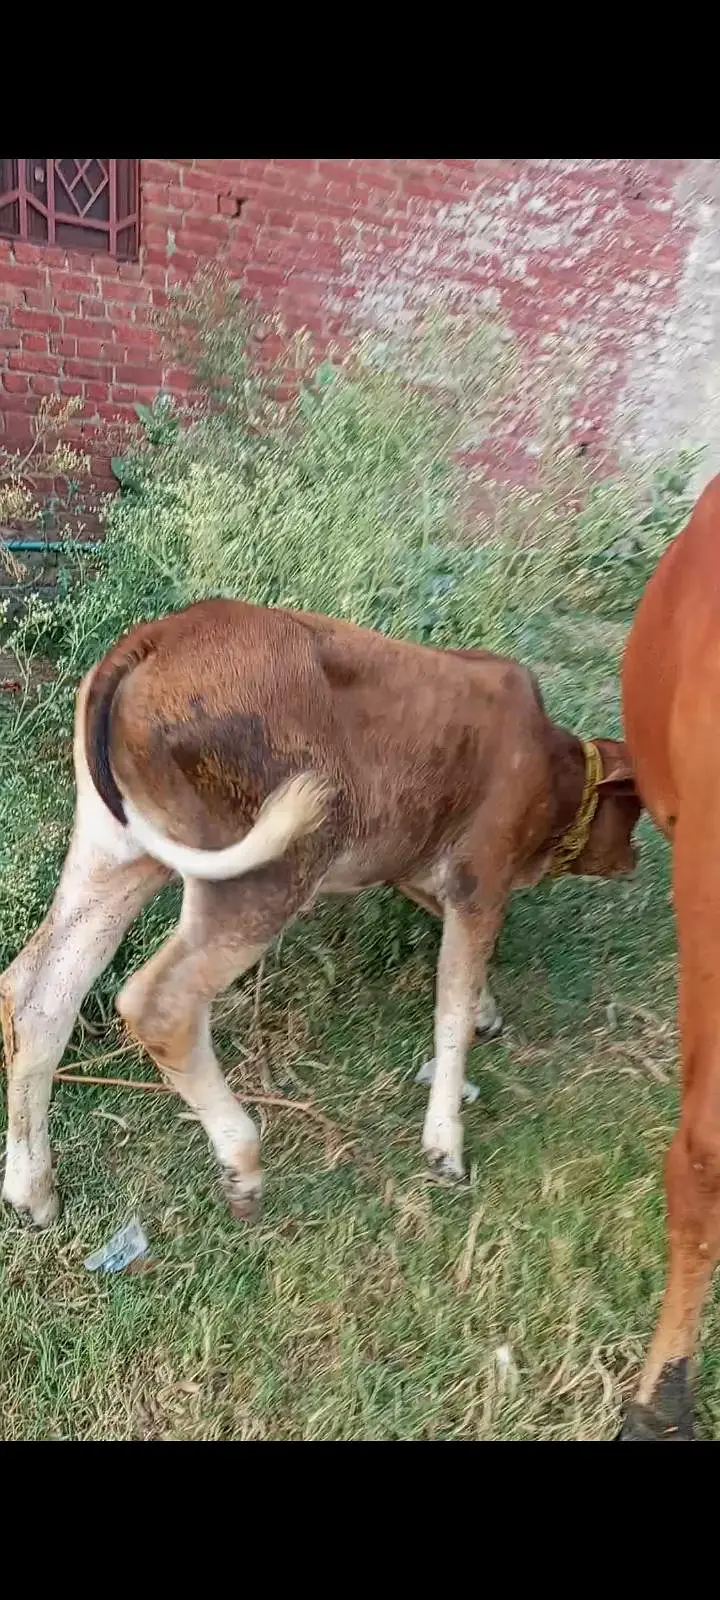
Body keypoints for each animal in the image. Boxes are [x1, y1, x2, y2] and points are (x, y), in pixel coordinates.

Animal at [1, 598, 640, 1238]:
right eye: (634, 811)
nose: (634, 860)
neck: (552, 767)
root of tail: (160, 635)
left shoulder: (418, 869)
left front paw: (486, 1011)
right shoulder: (480, 879)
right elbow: (452, 1010)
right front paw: (444, 1144)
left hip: (118, 856)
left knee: (36, 991)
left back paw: (33, 1189)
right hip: (273, 867)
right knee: (159, 1004)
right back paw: (241, 1162)